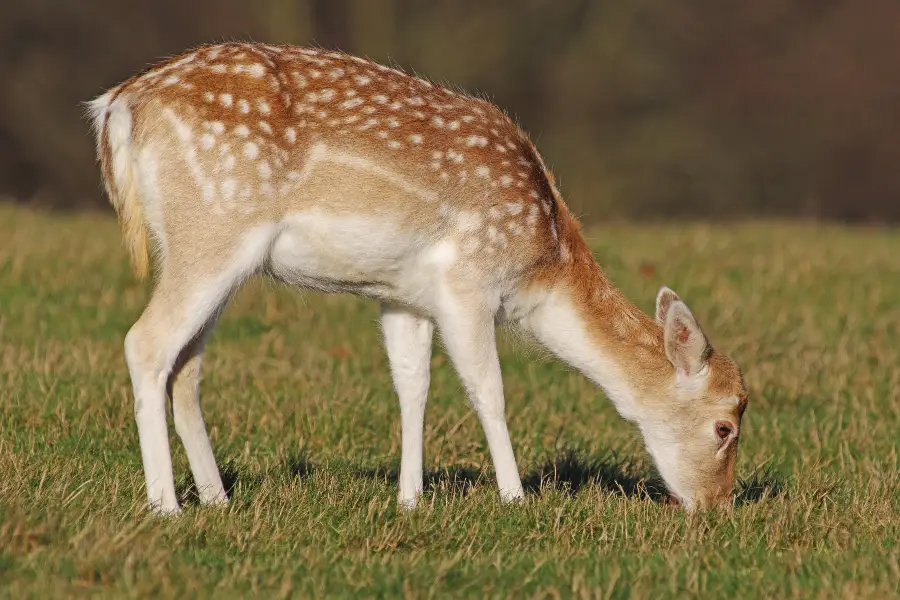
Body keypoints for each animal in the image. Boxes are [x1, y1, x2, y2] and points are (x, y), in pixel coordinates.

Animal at [88, 42, 748, 516]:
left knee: (187, 364)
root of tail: (118, 106)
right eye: (725, 426)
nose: (716, 508)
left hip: (199, 251)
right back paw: (166, 506)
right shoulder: (467, 282)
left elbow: (412, 386)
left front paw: (409, 499)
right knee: (146, 343)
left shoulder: (402, 297)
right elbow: (489, 390)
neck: (541, 266)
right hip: (213, 230)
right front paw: (515, 499)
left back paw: (219, 499)